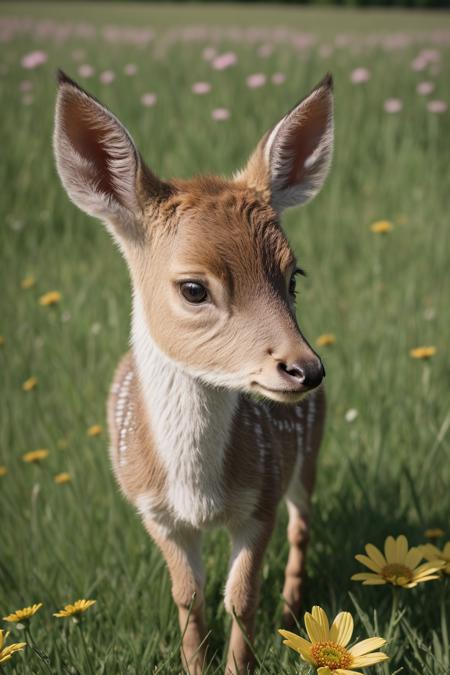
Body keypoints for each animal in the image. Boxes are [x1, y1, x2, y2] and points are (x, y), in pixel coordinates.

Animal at [53, 71, 334, 672]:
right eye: (193, 289)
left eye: (292, 276)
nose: (305, 369)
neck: (196, 491)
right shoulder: (154, 512)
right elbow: (189, 597)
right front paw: (196, 662)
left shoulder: (262, 497)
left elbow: (242, 598)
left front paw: (240, 660)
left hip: (308, 453)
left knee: (303, 525)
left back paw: (293, 611)